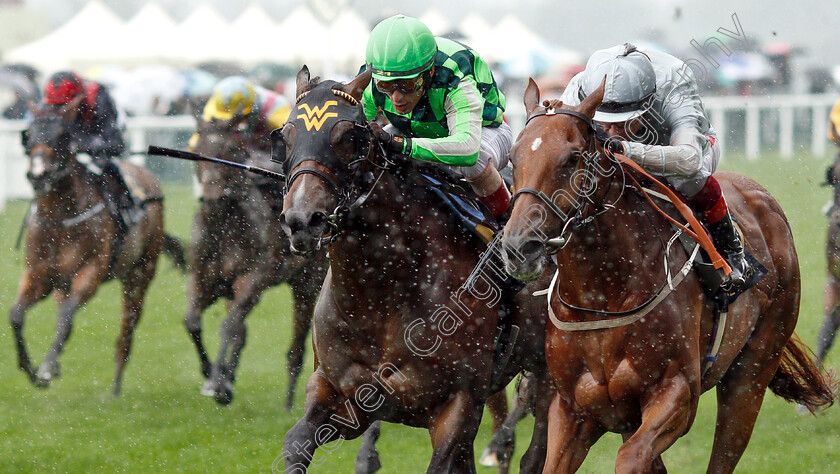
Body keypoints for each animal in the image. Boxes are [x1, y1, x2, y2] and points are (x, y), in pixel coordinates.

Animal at [10, 103, 184, 396]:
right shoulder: (39, 276)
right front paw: (32, 370)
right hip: (64, 283)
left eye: (62, 136)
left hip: (140, 274)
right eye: (28, 135)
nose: (38, 175)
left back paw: (115, 387)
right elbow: (16, 315)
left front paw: (44, 368)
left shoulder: (90, 273)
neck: (60, 218)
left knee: (126, 330)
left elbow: (66, 318)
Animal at [185, 116, 326, 406]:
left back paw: (289, 401)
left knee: (296, 346)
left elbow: (228, 326)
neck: (222, 226)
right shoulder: (204, 278)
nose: (211, 197)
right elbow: (192, 322)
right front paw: (212, 375)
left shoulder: (252, 280)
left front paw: (219, 384)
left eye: (229, 148)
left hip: (307, 284)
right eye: (197, 147)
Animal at [278, 67, 556, 474]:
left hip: (549, 370)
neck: (379, 296)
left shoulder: (458, 401)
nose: (301, 219)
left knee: (536, 450)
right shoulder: (342, 391)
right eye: (285, 136)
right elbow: (296, 443)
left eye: (348, 137)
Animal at [498, 79, 832, 472]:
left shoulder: (676, 394)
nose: (519, 246)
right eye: (514, 158)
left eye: (571, 158)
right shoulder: (574, 409)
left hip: (752, 371)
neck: (602, 297)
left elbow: (632, 456)